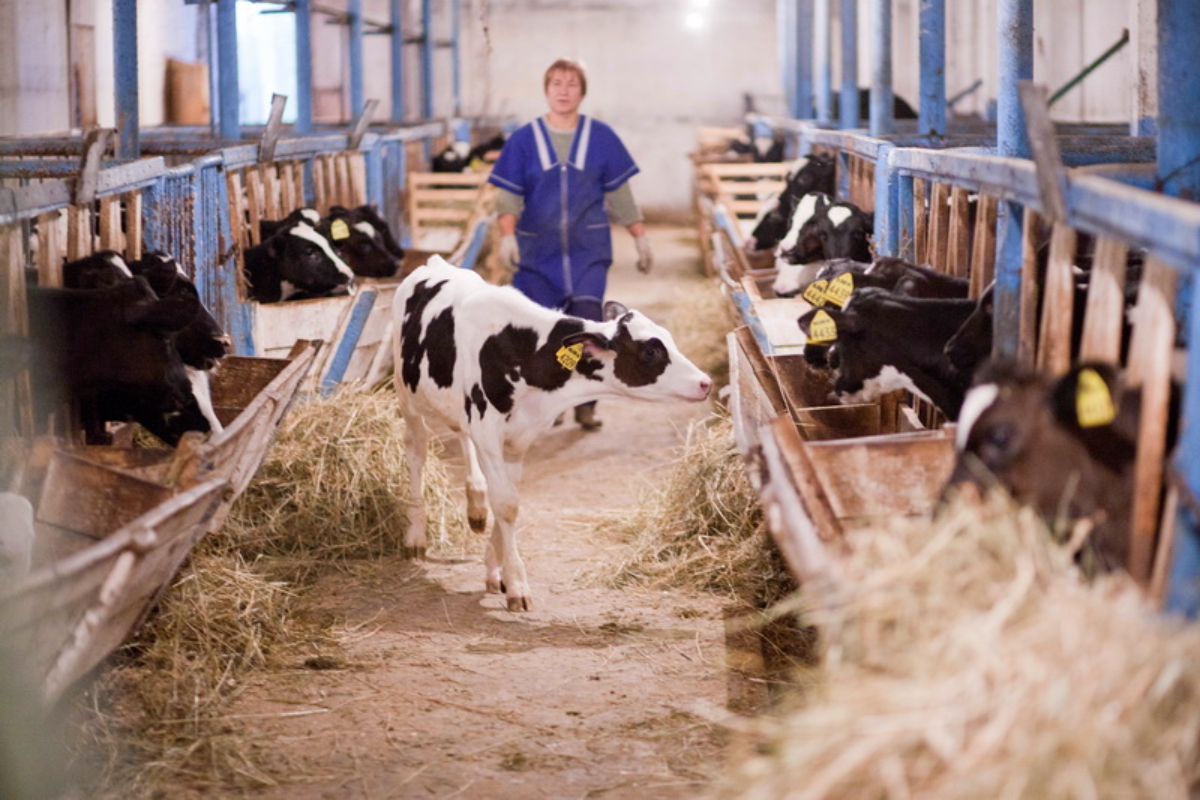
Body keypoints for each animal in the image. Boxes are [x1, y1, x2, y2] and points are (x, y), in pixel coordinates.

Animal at [393, 256, 710, 614]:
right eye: (651, 352)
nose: (705, 382)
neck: (522, 352)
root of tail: (434, 263)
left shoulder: (519, 436)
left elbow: (509, 496)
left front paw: (495, 570)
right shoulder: (488, 429)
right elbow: (506, 503)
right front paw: (517, 586)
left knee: (461, 436)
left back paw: (475, 504)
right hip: (406, 394)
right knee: (416, 451)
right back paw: (416, 536)